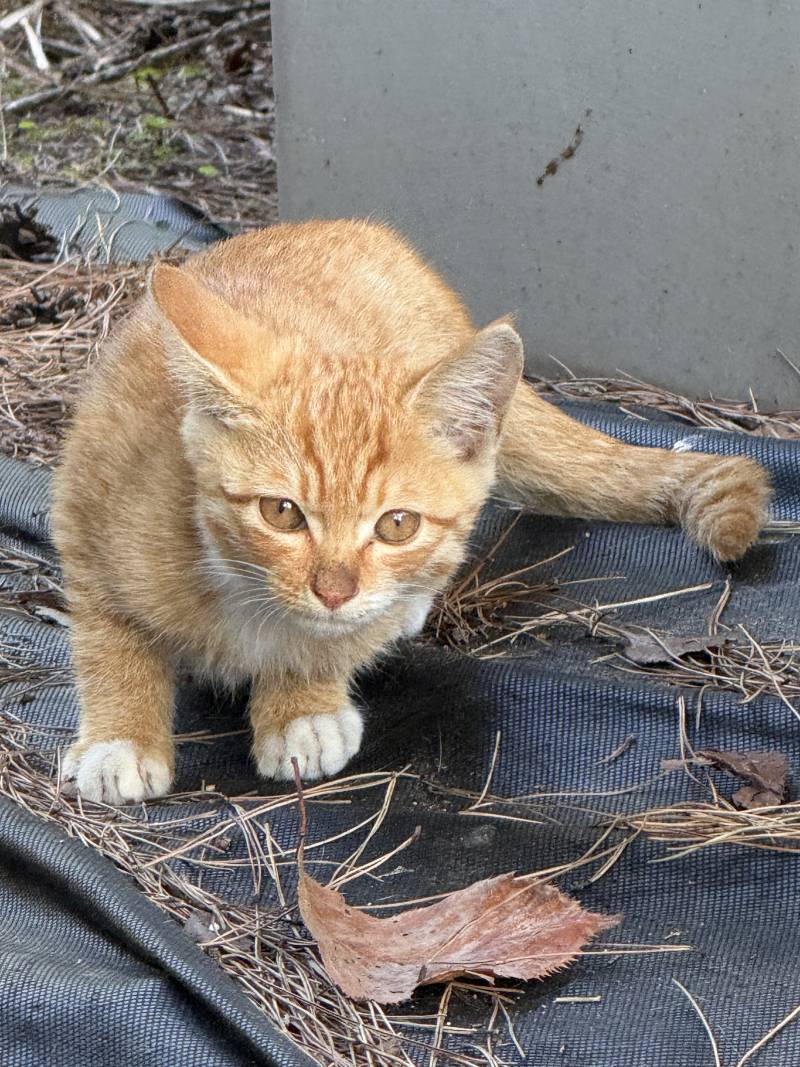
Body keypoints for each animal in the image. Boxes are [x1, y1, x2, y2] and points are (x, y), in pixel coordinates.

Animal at [50, 220, 772, 802]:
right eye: (282, 512)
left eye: (397, 524)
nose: (334, 590)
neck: (241, 591)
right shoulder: (84, 506)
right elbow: (107, 632)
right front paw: (121, 734)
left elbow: (332, 640)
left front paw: (302, 702)